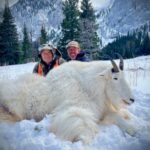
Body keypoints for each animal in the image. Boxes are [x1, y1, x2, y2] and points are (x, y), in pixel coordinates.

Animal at [0, 56, 135, 144]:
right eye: (115, 78)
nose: (132, 99)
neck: (89, 86)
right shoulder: (75, 108)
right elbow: (81, 122)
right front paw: (83, 138)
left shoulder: (103, 109)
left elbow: (120, 116)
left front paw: (133, 127)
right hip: (15, 103)